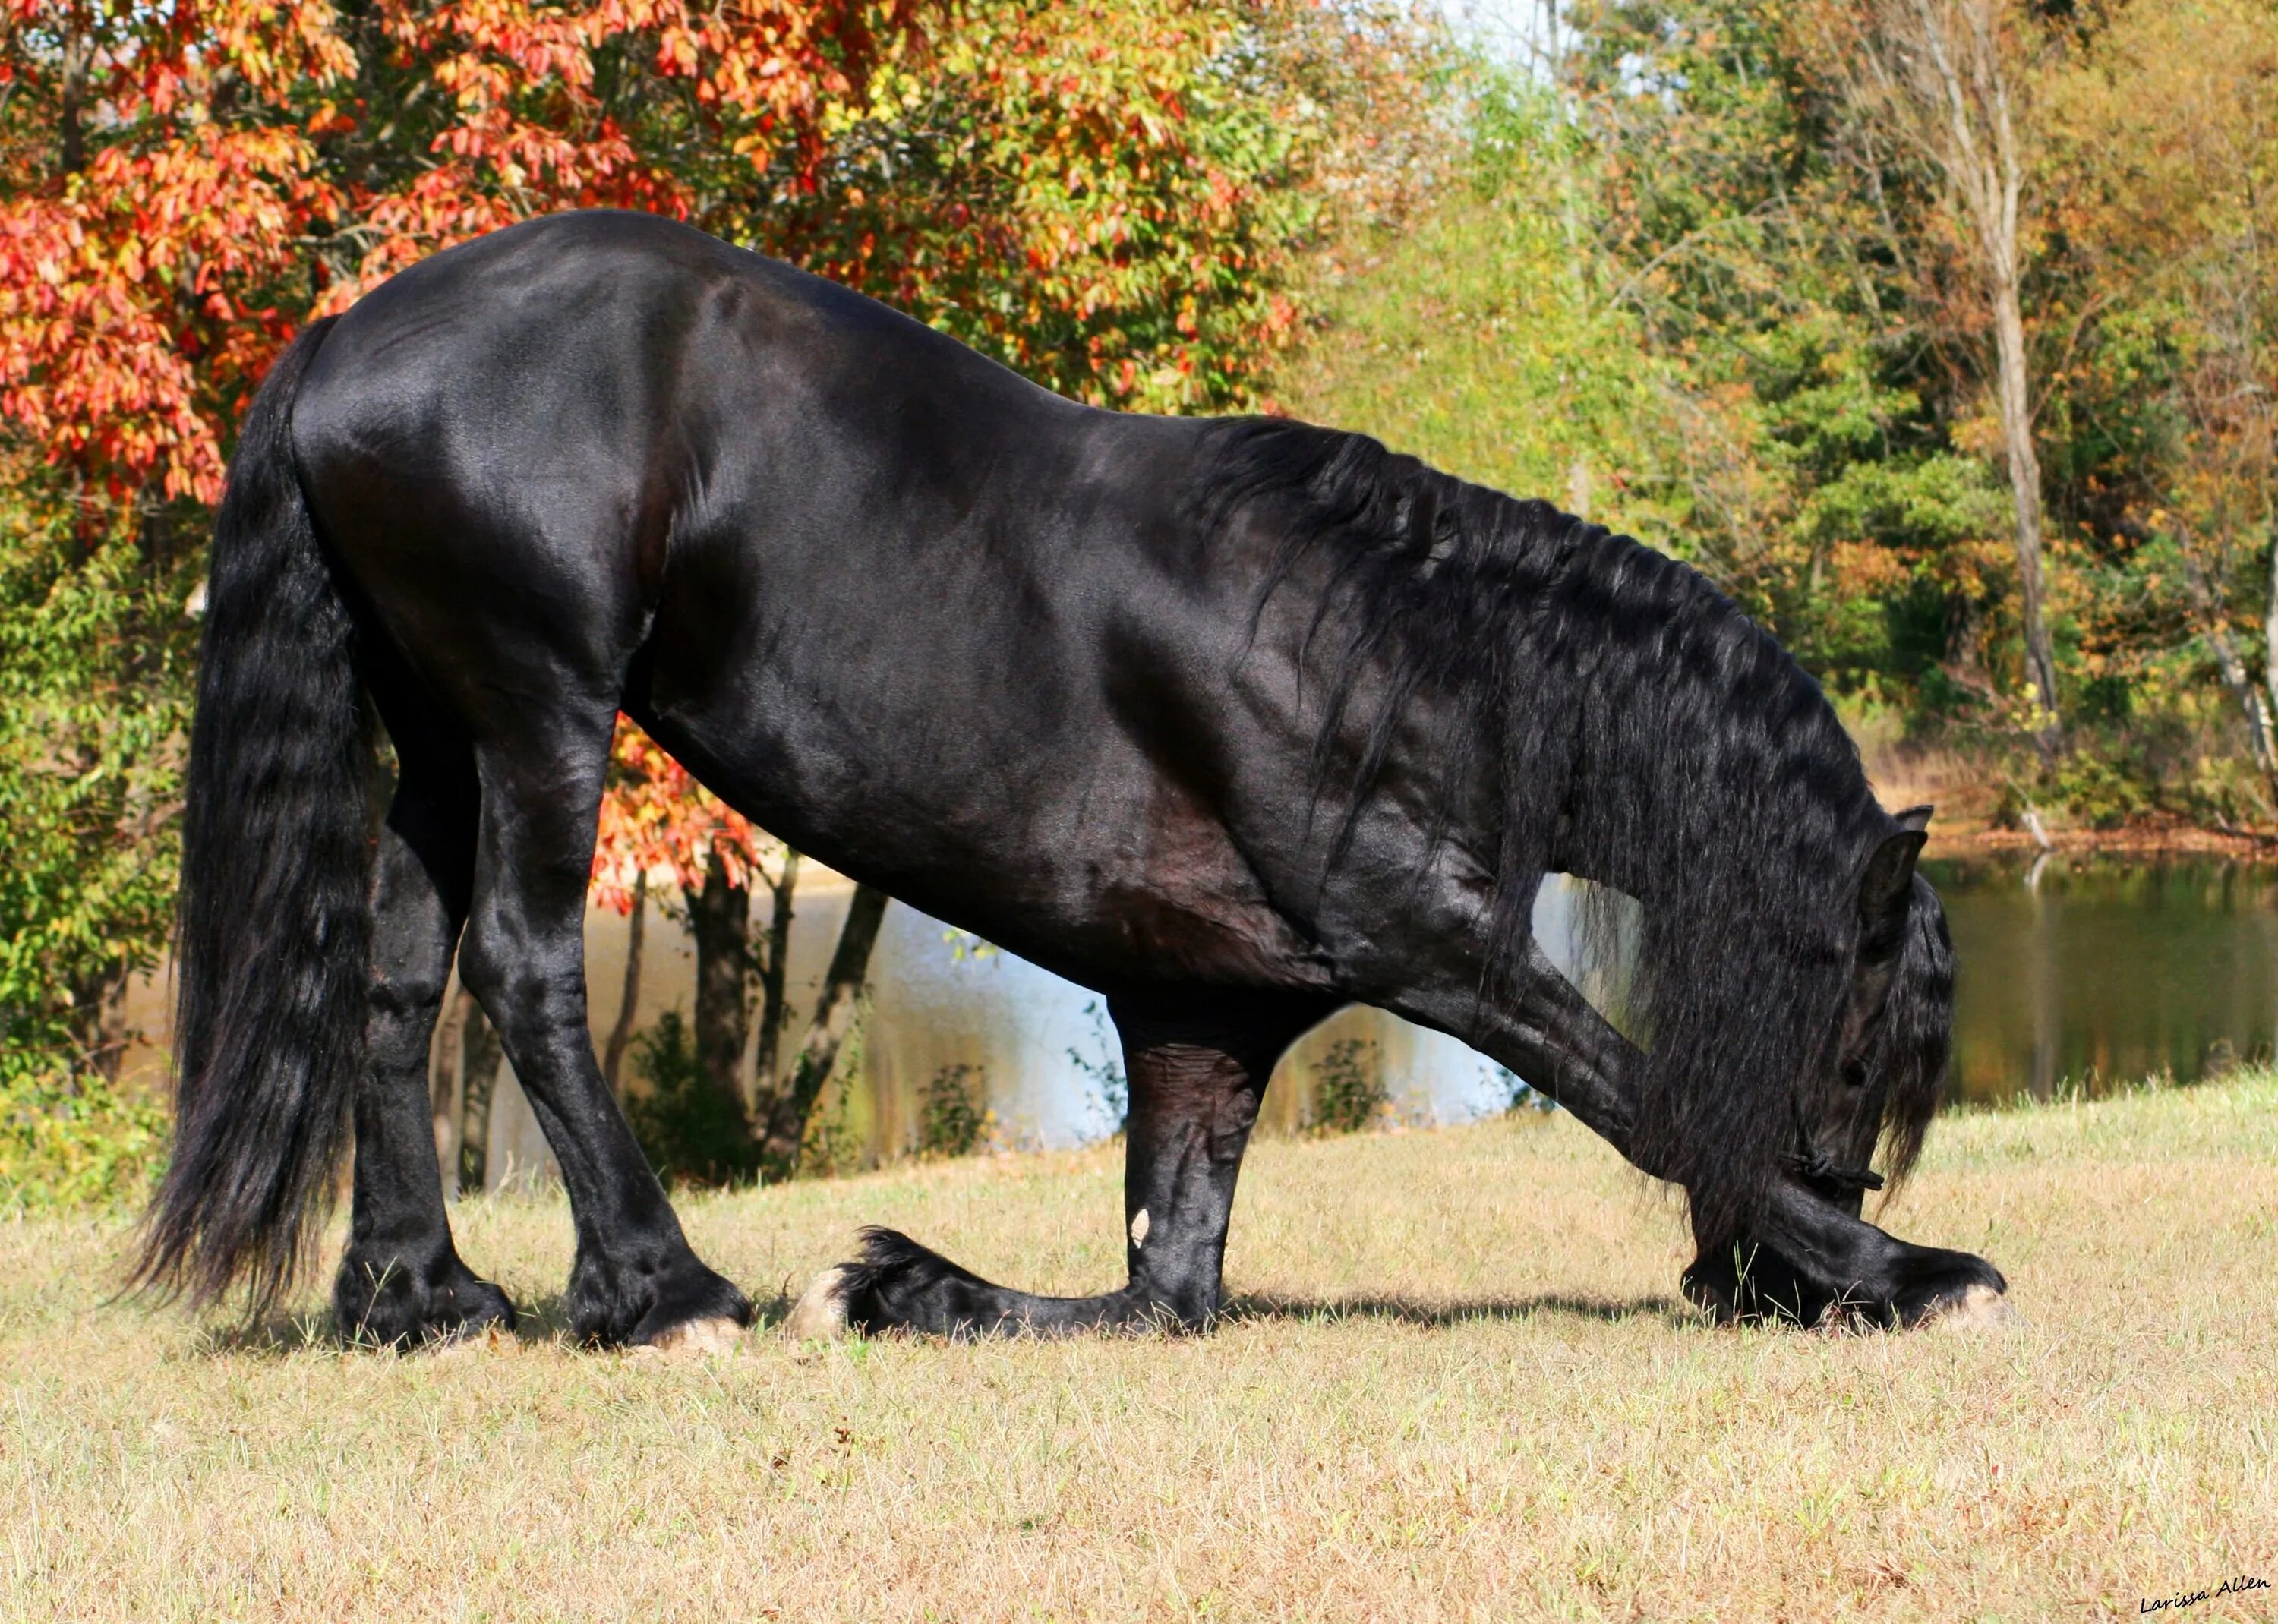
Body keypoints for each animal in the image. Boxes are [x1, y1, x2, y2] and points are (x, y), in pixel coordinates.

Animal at [137, 206, 2014, 1339]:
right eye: (1860, 1037)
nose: (1754, 1283)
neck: (1382, 642)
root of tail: (346, 338)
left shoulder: (1205, 1020)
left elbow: (1162, 1283)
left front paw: (908, 1281)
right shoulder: (1431, 941)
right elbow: (1635, 1089)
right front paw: (1912, 1266)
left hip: (437, 727)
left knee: (393, 982)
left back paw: (417, 1290)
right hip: (538, 705)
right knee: (527, 971)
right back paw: (662, 1285)